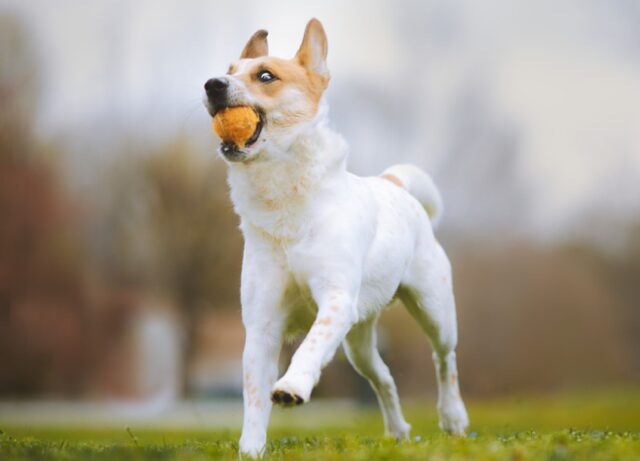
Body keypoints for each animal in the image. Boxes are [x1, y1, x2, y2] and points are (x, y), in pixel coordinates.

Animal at [205, 18, 470, 456]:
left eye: (265, 75)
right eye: (227, 69)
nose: (212, 84)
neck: (284, 200)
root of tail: (391, 182)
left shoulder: (336, 301)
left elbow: (310, 347)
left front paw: (292, 387)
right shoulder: (261, 324)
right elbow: (254, 396)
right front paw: (251, 449)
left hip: (434, 310)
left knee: (444, 360)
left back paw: (453, 419)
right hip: (358, 341)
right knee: (384, 378)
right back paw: (398, 432)